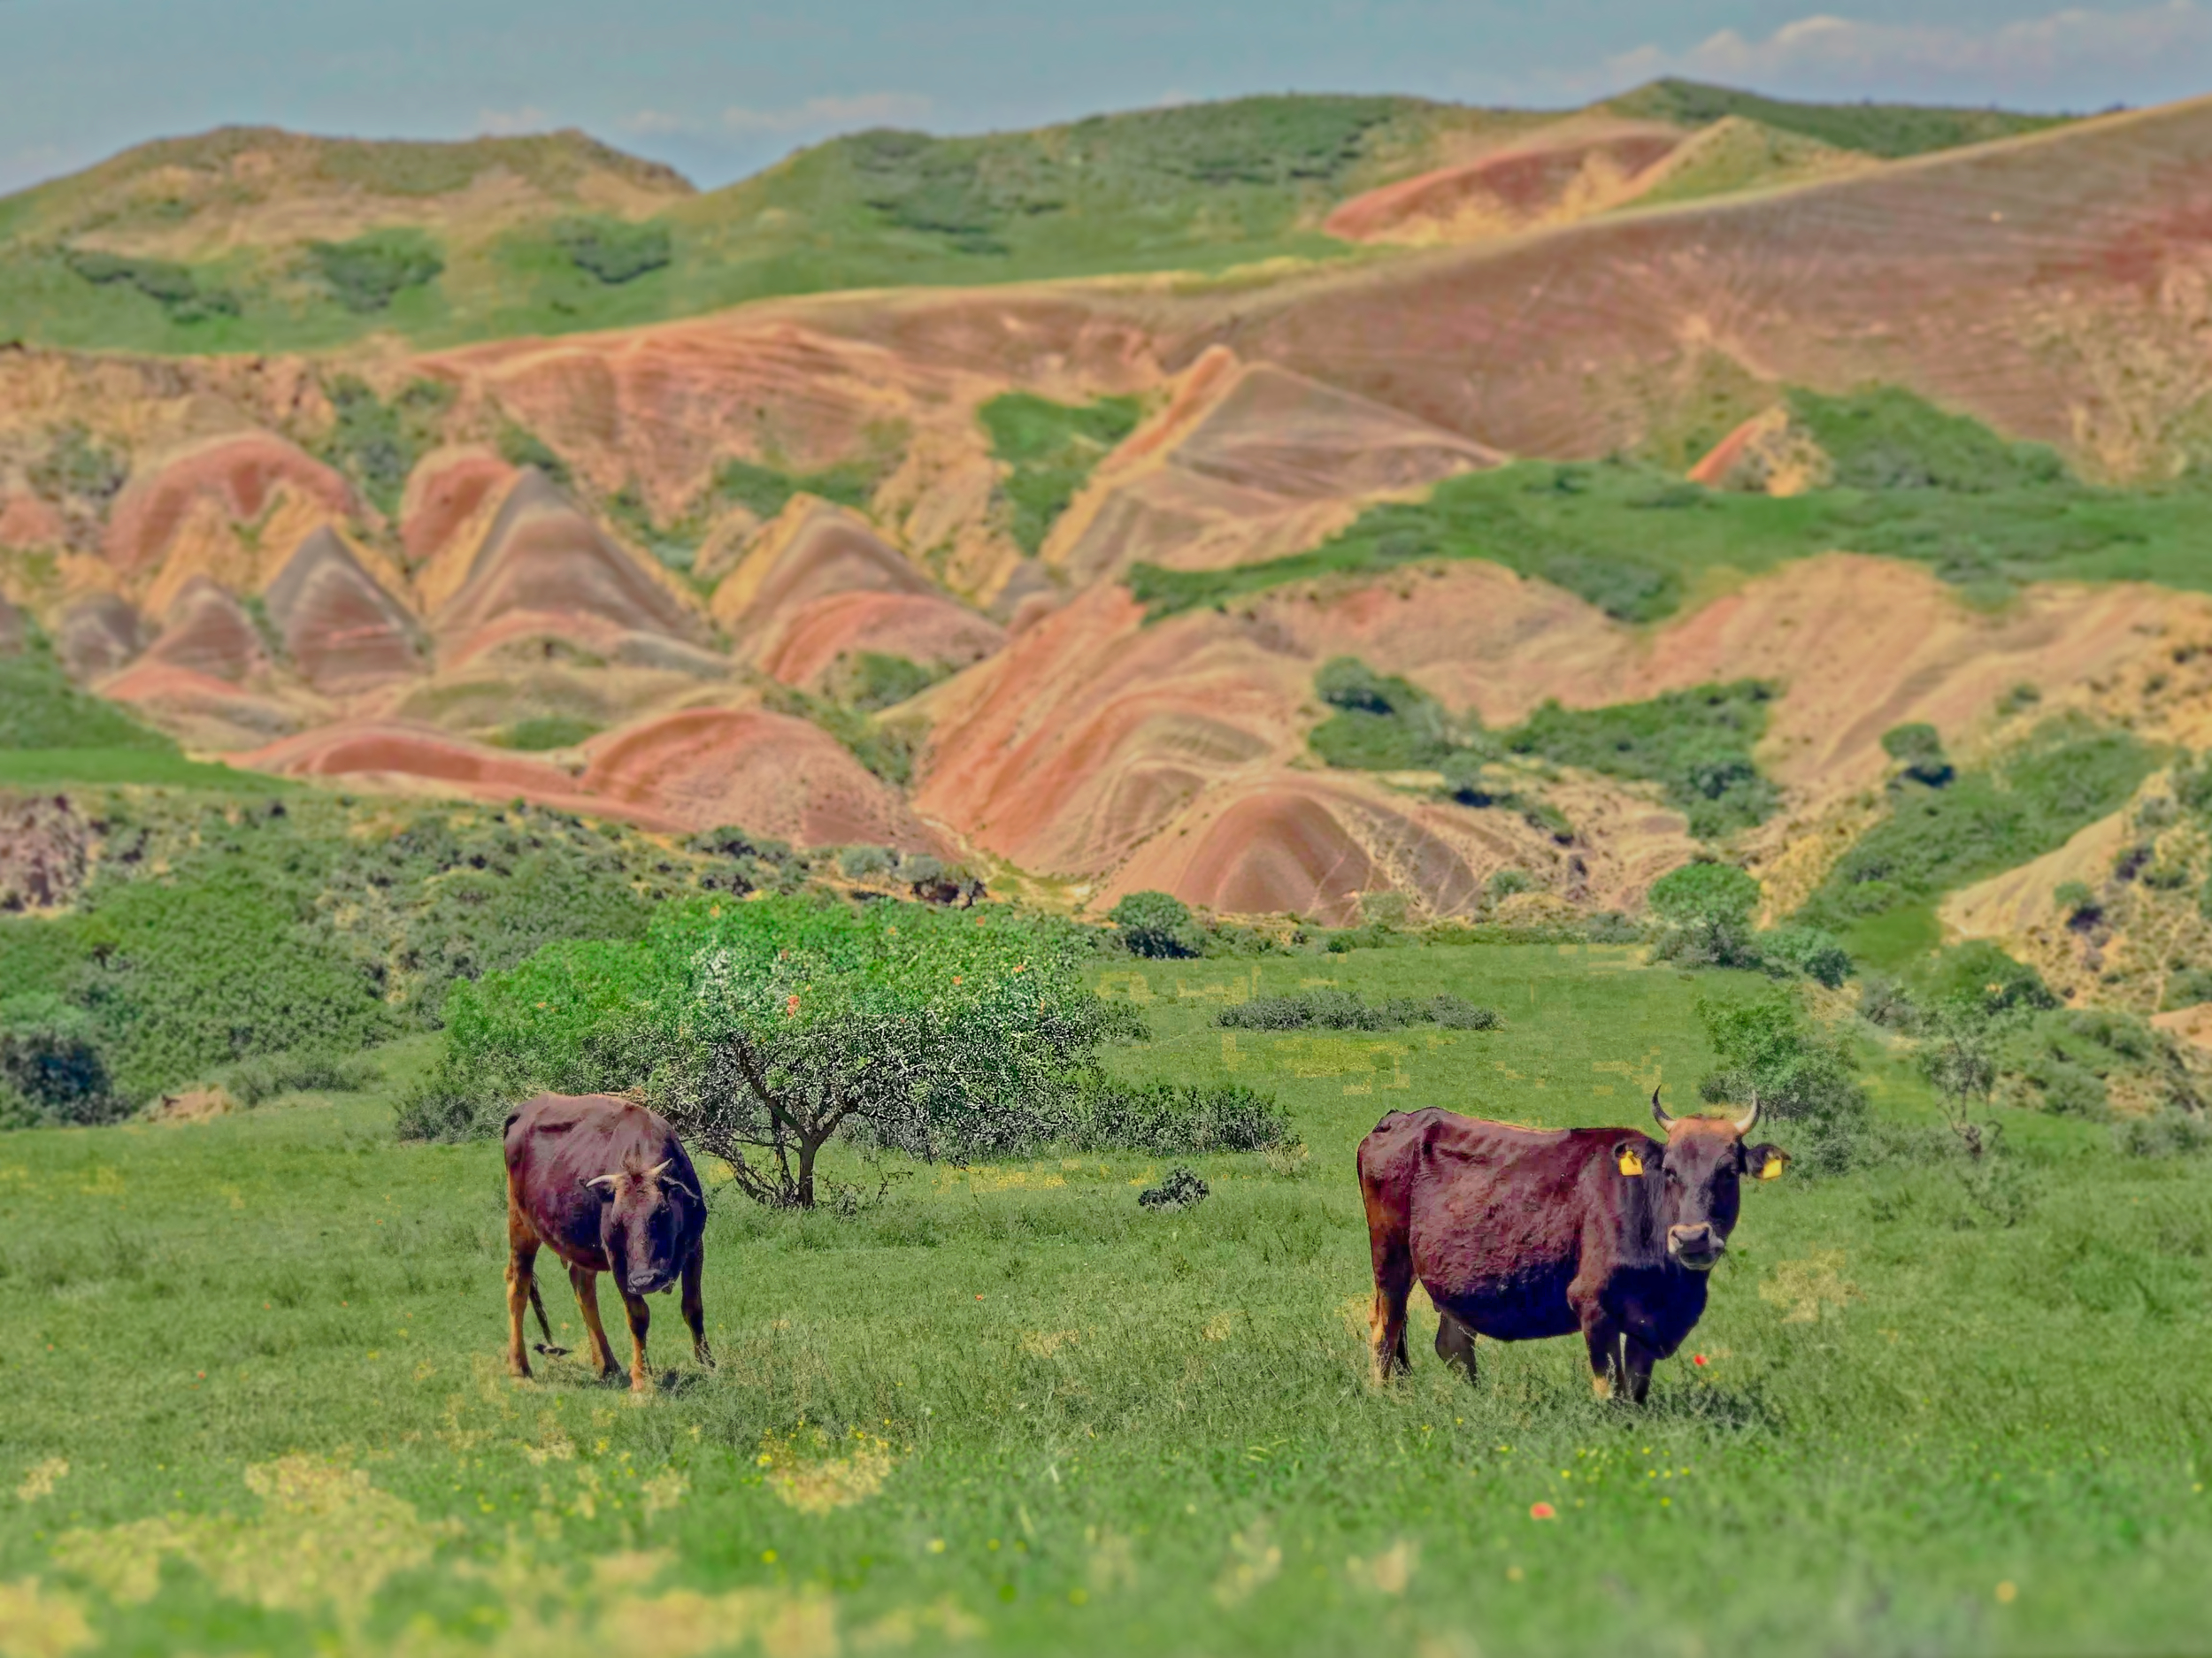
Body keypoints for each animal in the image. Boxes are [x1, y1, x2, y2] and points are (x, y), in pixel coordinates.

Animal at [506, 1096, 712, 1397]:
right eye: (616, 1221)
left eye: (662, 1211)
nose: (645, 1279)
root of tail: (525, 1108)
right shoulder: (619, 1262)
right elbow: (638, 1317)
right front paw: (642, 1380)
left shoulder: (695, 1246)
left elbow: (693, 1307)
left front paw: (708, 1364)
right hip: (521, 1227)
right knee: (518, 1287)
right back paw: (518, 1368)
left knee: (582, 1287)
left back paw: (607, 1364)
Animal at [1354, 1096, 1787, 1406]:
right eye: (1670, 1171)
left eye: (1729, 1171)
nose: (1692, 1237)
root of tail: (1402, 1118)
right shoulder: (1593, 1305)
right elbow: (1609, 1390)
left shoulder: (1647, 1324)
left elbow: (1635, 1393)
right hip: (1390, 1257)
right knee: (1385, 1327)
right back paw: (1383, 1398)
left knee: (1454, 1344)